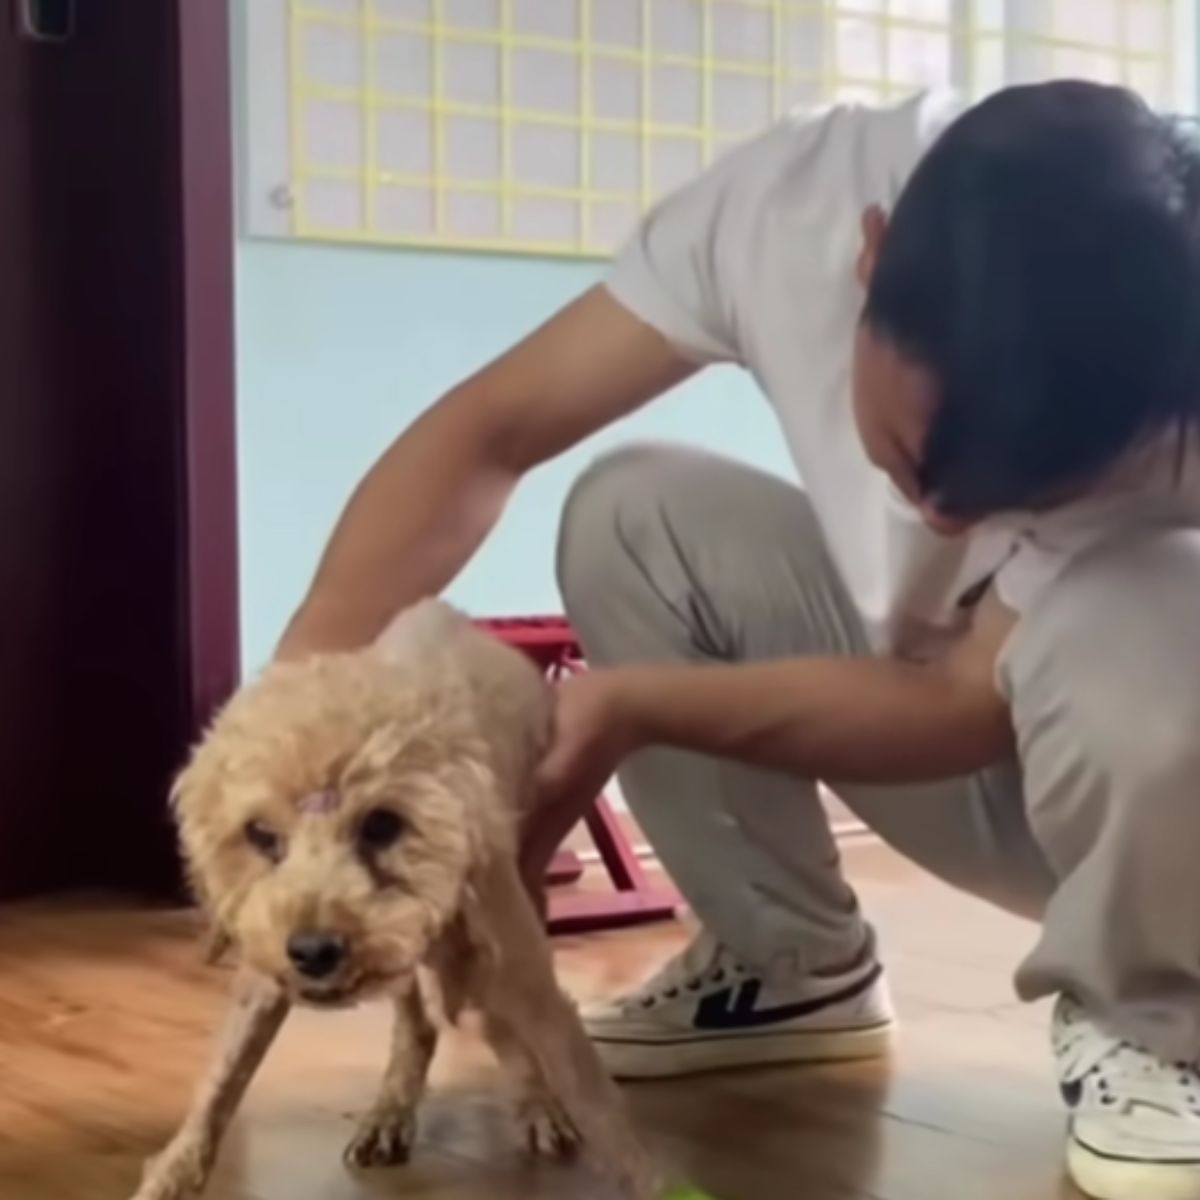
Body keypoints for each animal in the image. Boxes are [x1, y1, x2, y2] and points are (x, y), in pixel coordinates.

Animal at [131, 604, 667, 1195]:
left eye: (382, 824)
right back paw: (391, 1112)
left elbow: (594, 1098)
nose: (314, 952)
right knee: (420, 1024)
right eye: (260, 835)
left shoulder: (521, 965)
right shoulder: (264, 964)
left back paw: (531, 1104)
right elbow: (219, 1085)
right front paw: (170, 1177)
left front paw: (648, 1177)